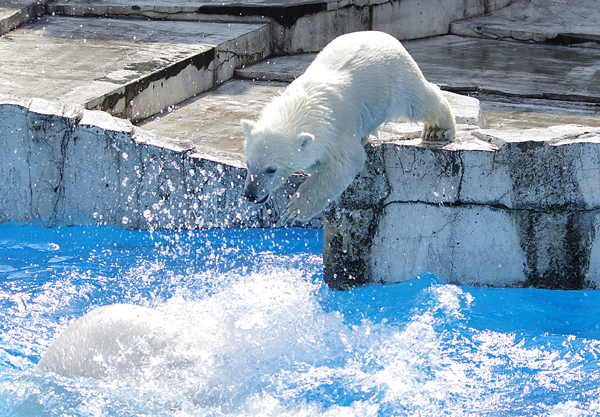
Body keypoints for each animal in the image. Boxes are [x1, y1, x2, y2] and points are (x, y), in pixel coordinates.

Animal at [241, 30, 452, 221]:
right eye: (248, 163)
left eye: (271, 169)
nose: (250, 194)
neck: (303, 106)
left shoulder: (336, 129)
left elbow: (347, 161)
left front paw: (295, 209)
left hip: (398, 76)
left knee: (420, 101)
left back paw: (438, 129)